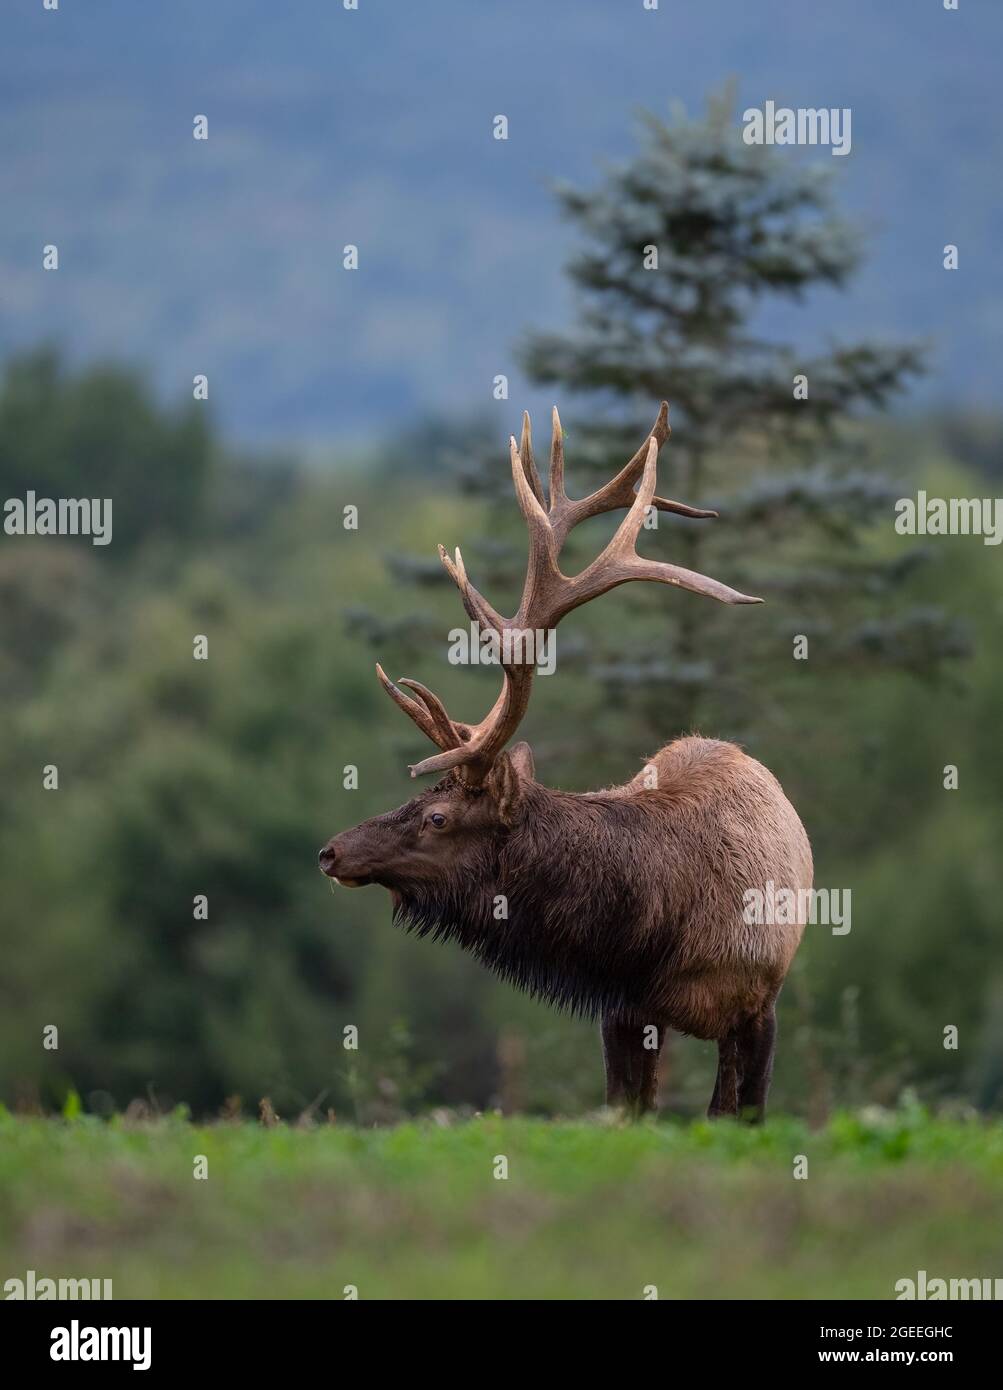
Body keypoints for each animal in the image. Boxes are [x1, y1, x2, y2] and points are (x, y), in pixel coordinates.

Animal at [319, 404, 813, 1121]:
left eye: (438, 817)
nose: (330, 851)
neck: (660, 939)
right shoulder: (622, 1007)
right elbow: (624, 1111)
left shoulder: (758, 1003)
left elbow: (738, 1114)